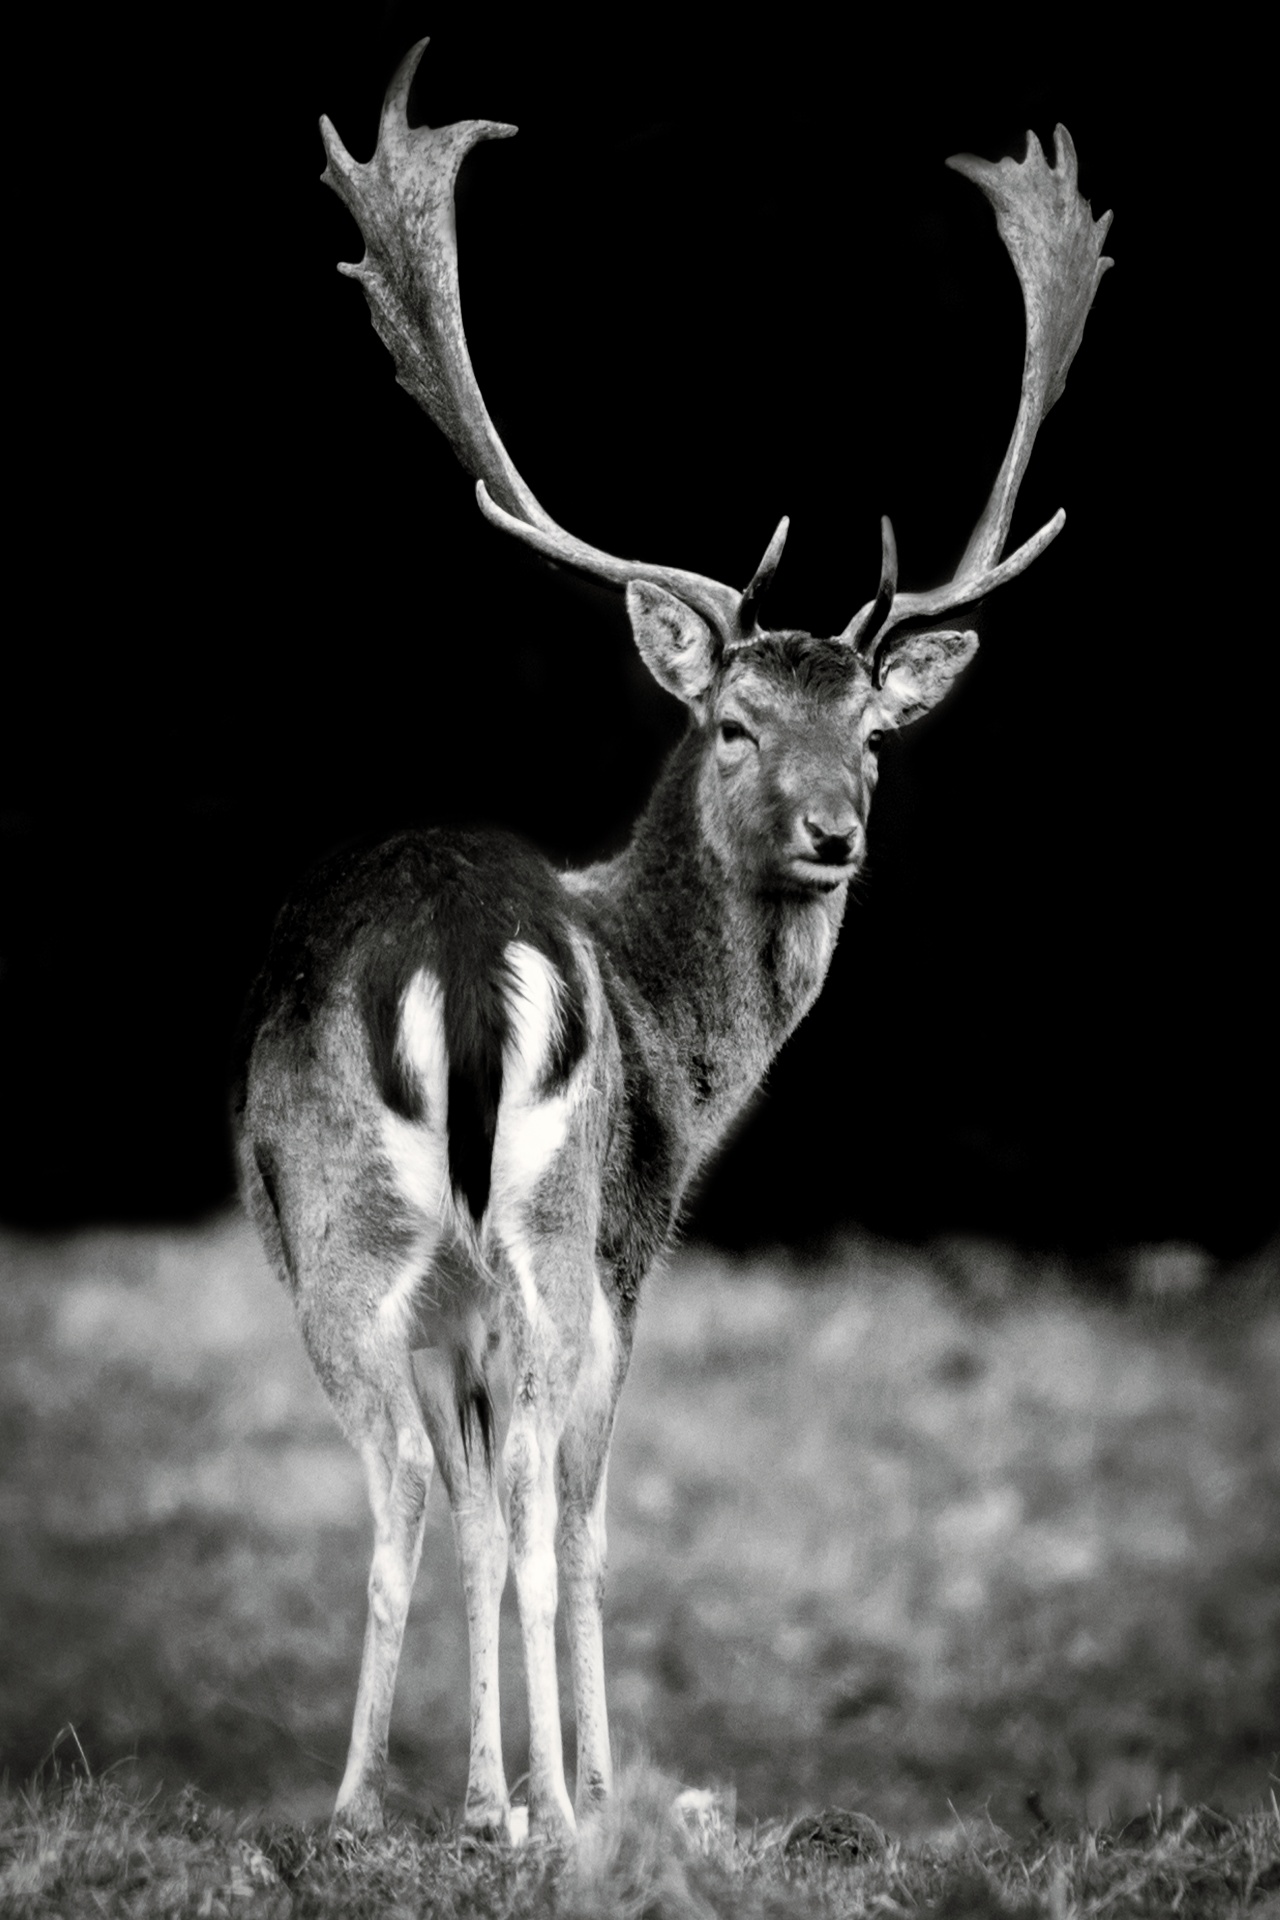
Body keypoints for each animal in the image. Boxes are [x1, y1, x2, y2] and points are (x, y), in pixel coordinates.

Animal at [237, 37, 1113, 1843]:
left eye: (874, 730)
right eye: (730, 723)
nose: (837, 832)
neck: (682, 1045)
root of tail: (461, 960)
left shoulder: (509, 1293)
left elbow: (504, 1511)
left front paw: (512, 1792)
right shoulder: (634, 1242)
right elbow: (578, 1518)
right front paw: (587, 1789)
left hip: (401, 1232)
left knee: (429, 1485)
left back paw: (403, 1807)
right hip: (526, 1232)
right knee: (496, 1489)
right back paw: (473, 1805)